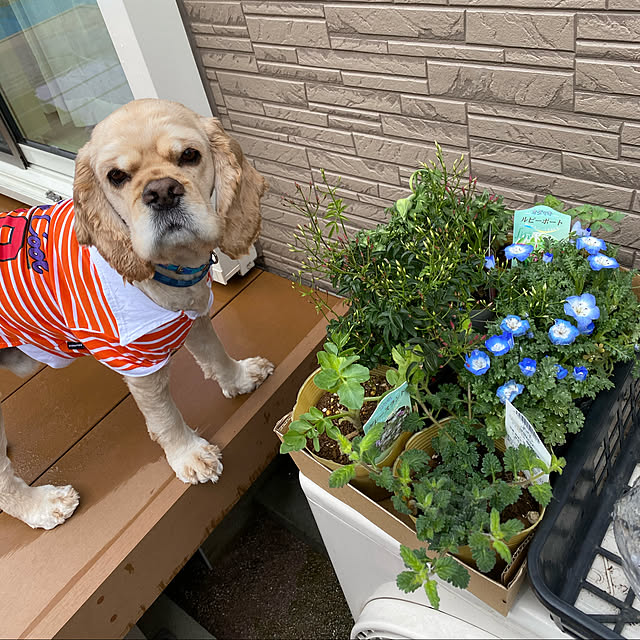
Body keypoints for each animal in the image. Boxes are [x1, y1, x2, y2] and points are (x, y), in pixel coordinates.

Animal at [0, 99, 272, 528]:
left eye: (189, 156)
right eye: (116, 176)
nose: (162, 192)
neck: (171, 269)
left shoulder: (193, 313)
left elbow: (215, 354)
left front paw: (241, 378)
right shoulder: (136, 360)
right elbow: (164, 416)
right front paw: (189, 455)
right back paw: (42, 505)